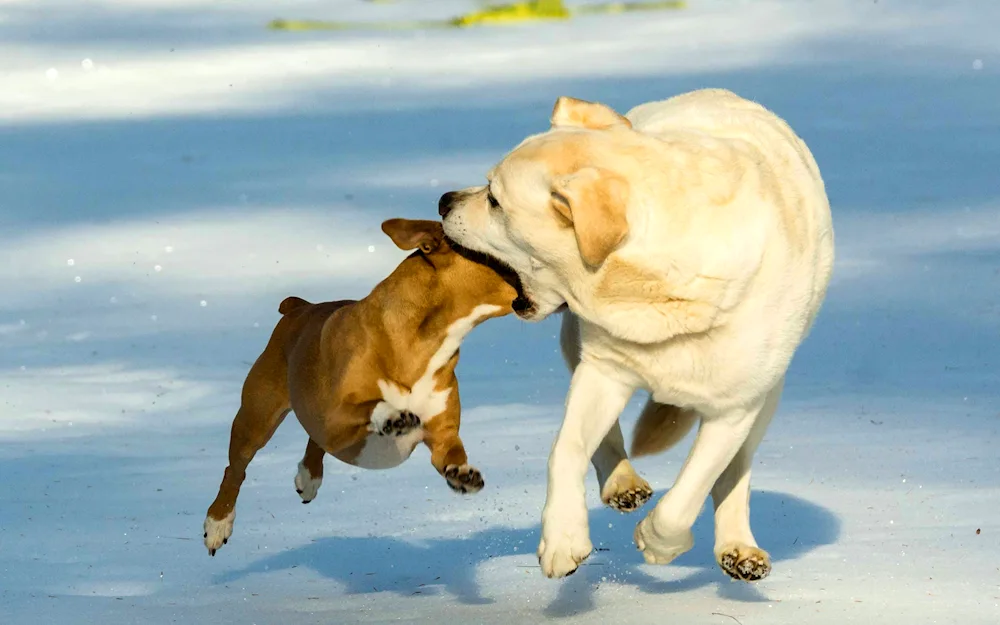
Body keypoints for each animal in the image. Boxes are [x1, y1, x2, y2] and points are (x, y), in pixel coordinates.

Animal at [201, 217, 516, 552]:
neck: (424, 345)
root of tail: (298, 307)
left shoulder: (442, 435)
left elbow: (450, 453)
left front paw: (462, 474)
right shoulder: (332, 419)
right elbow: (368, 405)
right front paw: (393, 416)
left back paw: (308, 478)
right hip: (257, 417)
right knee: (236, 468)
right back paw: (218, 522)